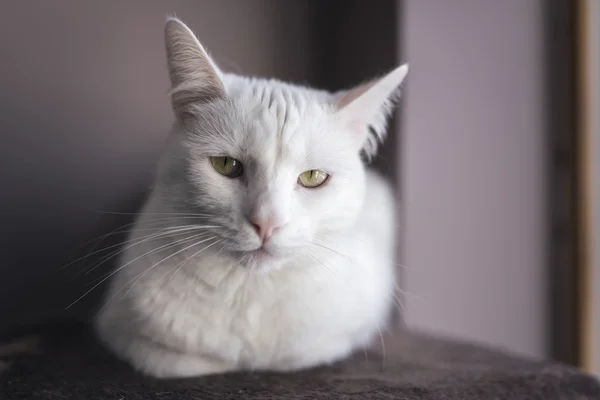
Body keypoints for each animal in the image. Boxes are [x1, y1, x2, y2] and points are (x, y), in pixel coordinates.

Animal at [95, 16, 408, 378]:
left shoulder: (337, 337)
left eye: (313, 177)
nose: (266, 222)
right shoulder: (119, 330)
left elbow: (302, 355)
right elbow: (172, 360)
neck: (249, 290)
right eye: (226, 165)